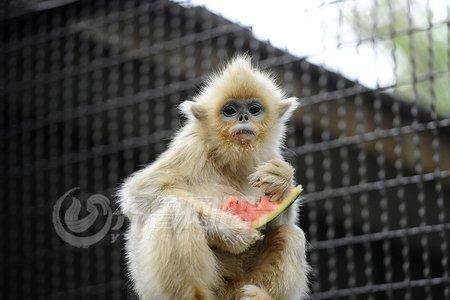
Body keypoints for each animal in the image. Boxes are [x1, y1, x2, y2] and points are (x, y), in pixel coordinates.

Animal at [118, 55, 310, 298]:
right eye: (230, 111)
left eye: (254, 109)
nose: (243, 116)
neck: (228, 161)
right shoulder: (192, 145)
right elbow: (143, 192)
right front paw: (228, 229)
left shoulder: (269, 155)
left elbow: (280, 219)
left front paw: (280, 182)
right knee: (175, 211)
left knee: (290, 234)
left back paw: (260, 295)